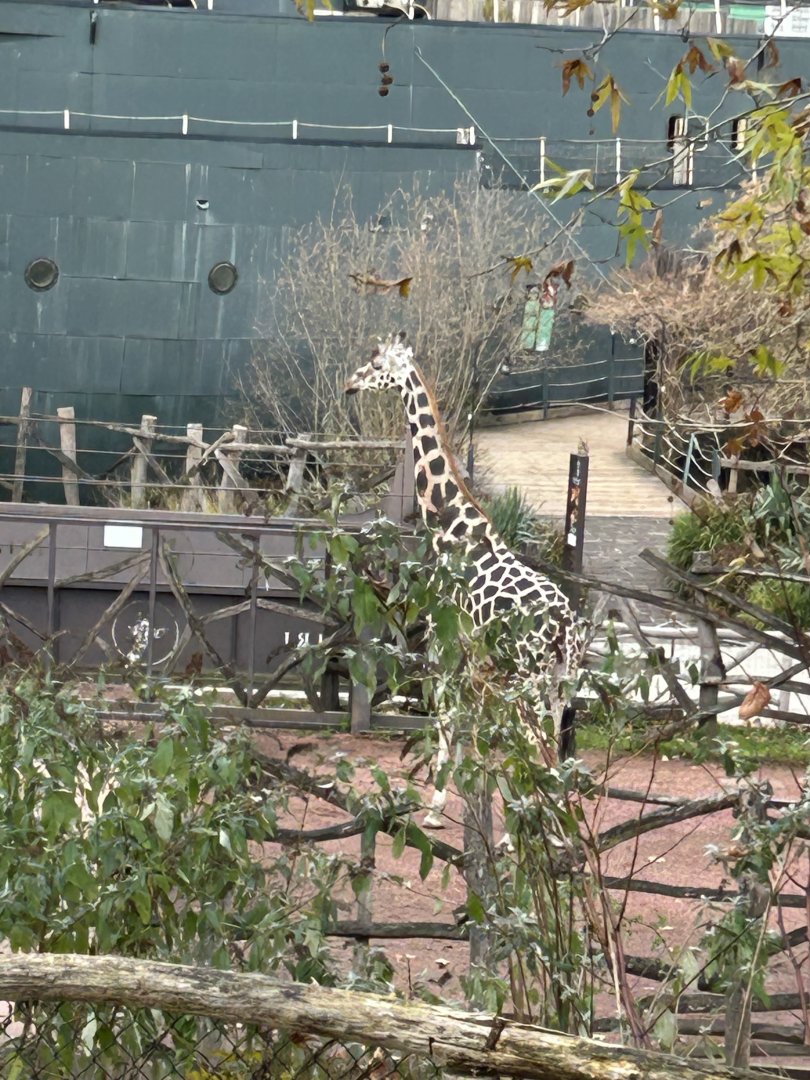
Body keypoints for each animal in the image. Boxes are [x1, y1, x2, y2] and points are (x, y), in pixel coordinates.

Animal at [345, 332, 583, 828]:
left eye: (375, 364)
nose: (348, 384)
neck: (449, 523)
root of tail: (566, 626)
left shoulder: (443, 644)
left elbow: (446, 718)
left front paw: (435, 808)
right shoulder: (474, 660)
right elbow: (473, 728)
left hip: (527, 679)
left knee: (540, 750)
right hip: (561, 680)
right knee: (555, 752)